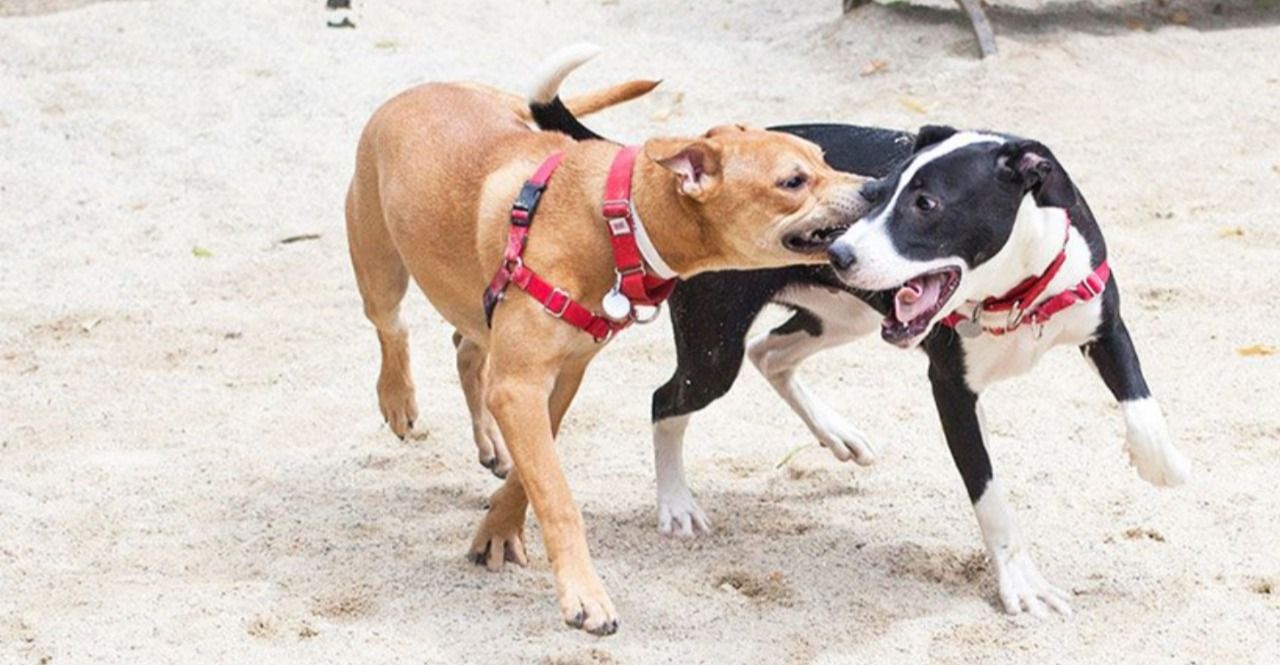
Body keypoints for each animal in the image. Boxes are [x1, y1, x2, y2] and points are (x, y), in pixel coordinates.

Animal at [345, 46, 870, 634]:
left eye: (824, 159)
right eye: (793, 182)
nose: (876, 187)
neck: (615, 218)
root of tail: (423, 89)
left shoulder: (558, 380)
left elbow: (530, 476)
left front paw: (498, 529)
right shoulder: (520, 386)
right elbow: (556, 495)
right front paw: (584, 594)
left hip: (477, 305)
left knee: (466, 348)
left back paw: (490, 442)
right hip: (381, 269)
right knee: (393, 327)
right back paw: (398, 401)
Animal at [527, 102, 1187, 613]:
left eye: (924, 204)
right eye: (879, 191)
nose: (840, 252)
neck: (1010, 292)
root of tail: (677, 178)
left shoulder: (1104, 323)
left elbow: (1142, 403)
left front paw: (1161, 464)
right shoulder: (950, 389)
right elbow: (992, 498)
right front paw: (1020, 584)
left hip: (843, 316)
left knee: (772, 353)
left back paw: (838, 435)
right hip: (715, 353)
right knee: (669, 399)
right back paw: (677, 504)